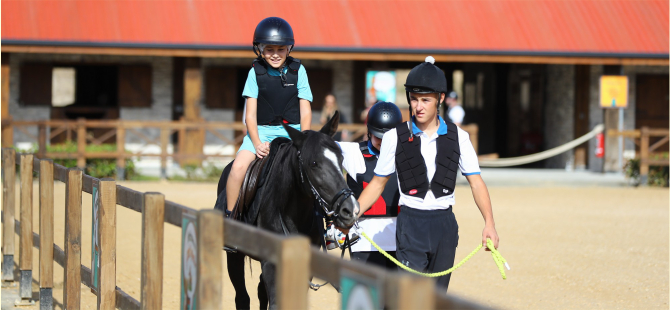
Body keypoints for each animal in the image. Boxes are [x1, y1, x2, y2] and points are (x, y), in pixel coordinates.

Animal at [218, 112, 360, 308]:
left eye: (341, 159)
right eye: (313, 163)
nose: (350, 209)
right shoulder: (270, 264)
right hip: (234, 257)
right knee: (242, 297)